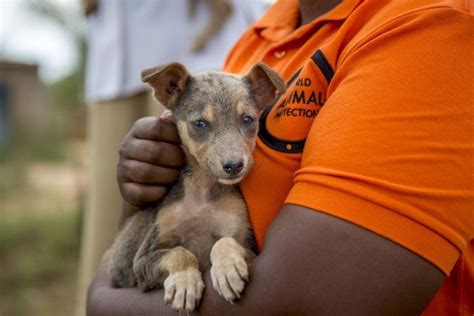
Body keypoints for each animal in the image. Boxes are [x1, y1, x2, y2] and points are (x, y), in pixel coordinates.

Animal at [109, 61, 286, 312]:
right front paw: (185, 282)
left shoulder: (248, 246)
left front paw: (227, 267)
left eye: (248, 119)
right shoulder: (143, 261)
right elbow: (179, 252)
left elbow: (224, 241)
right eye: (200, 124)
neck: (203, 191)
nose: (234, 166)